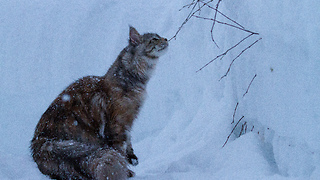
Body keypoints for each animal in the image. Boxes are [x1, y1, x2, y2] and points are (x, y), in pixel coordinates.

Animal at [31, 27, 169, 180]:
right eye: (154, 39)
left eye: (159, 36)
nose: (166, 39)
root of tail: (38, 142)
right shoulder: (118, 124)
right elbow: (120, 149)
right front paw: (127, 171)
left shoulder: (128, 123)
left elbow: (129, 143)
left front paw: (132, 158)